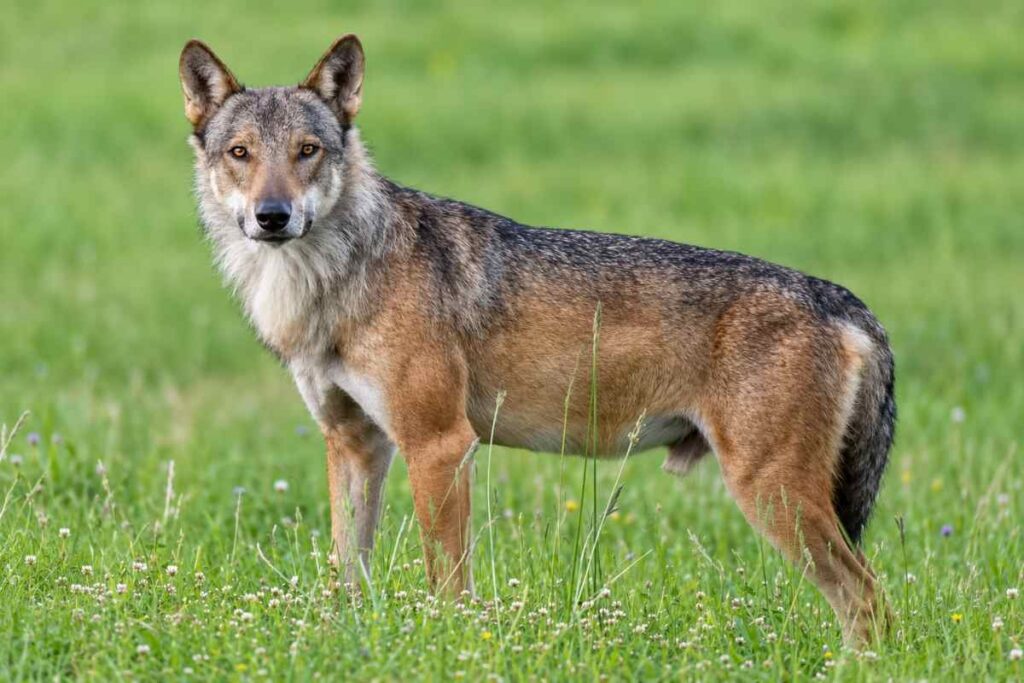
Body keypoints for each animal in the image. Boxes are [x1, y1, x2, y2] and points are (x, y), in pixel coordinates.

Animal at [179, 35, 895, 644]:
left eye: (308, 150)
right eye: (241, 153)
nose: (273, 217)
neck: (332, 280)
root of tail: (840, 298)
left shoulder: (440, 445)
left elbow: (448, 586)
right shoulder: (354, 445)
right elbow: (346, 577)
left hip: (772, 496)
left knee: (871, 602)